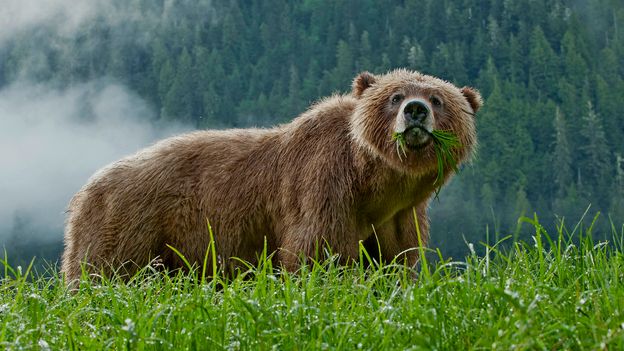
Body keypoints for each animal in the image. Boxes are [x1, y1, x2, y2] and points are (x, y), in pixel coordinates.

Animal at [61, 69, 480, 284]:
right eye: (395, 96)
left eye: (438, 99)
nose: (415, 110)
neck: (375, 185)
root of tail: (84, 190)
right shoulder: (323, 187)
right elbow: (316, 254)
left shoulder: (400, 218)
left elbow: (395, 263)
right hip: (128, 225)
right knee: (103, 274)